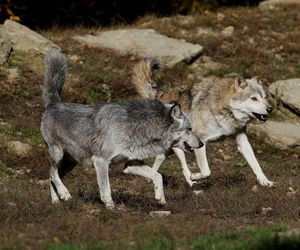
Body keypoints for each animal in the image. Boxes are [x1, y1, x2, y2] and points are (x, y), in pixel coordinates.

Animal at [39, 49, 203, 208]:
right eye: (190, 129)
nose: (201, 144)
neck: (137, 128)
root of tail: (54, 104)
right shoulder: (100, 161)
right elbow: (106, 189)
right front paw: (111, 207)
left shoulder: (130, 165)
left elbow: (158, 176)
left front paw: (160, 197)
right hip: (58, 153)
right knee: (51, 172)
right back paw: (64, 194)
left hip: (71, 162)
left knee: (52, 177)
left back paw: (56, 201)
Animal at [132, 58, 276, 188]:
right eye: (253, 99)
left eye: (265, 97)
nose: (270, 109)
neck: (225, 108)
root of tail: (161, 94)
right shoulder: (201, 141)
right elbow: (206, 171)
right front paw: (196, 176)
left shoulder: (242, 140)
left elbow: (255, 163)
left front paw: (265, 182)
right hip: (179, 146)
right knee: (183, 167)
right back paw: (194, 185)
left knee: (160, 159)